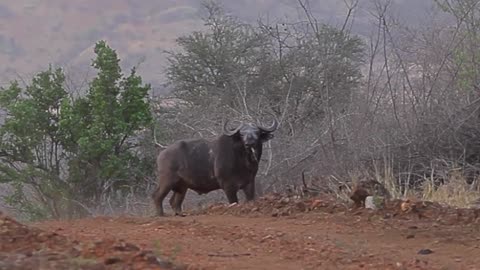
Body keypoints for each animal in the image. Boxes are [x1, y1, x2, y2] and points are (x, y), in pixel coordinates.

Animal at [150, 119, 278, 216]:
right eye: (242, 134)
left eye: (257, 132)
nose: (250, 142)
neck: (243, 160)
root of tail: (161, 154)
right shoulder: (228, 186)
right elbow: (234, 202)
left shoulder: (249, 183)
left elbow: (250, 199)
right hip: (167, 180)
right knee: (157, 196)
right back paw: (160, 214)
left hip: (182, 186)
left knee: (174, 201)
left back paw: (180, 214)